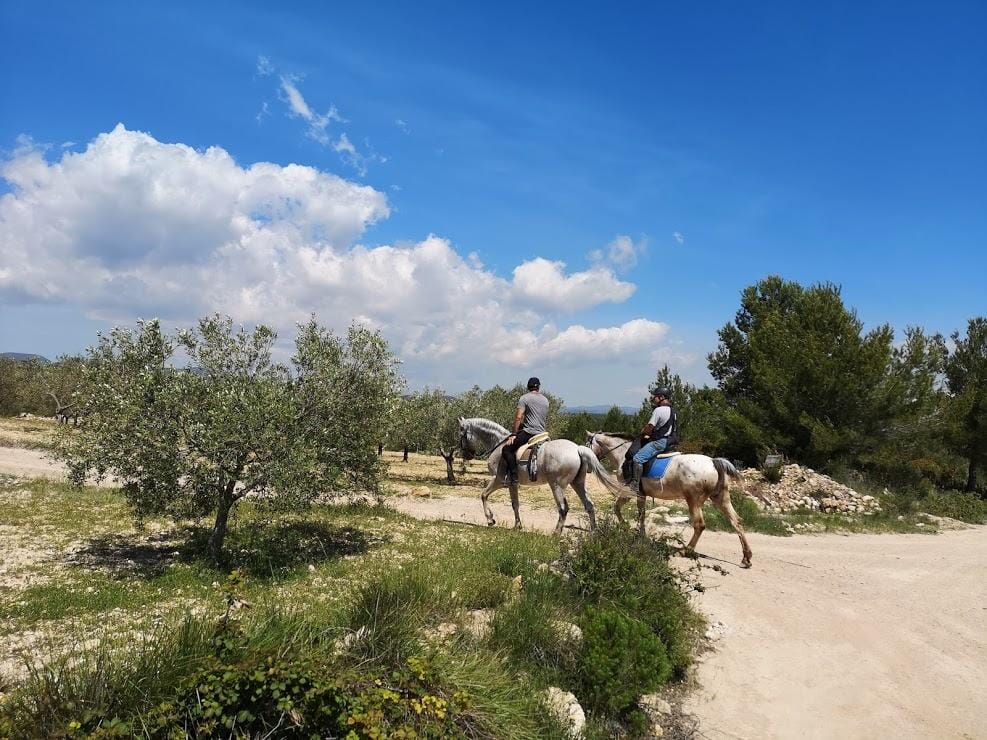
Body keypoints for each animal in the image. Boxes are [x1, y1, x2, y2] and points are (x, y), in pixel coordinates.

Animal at [458, 417, 627, 535]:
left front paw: (490, 519)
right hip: (578, 483)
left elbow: (484, 495)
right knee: (589, 505)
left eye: (462, 435)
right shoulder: (513, 484)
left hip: (556, 485)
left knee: (563, 508)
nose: (467, 455)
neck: (499, 444)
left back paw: (556, 533)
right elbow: (515, 504)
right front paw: (517, 525)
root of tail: (577, 449)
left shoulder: (499, 480)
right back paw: (594, 531)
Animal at [586, 431, 753, 568]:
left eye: (587, 444)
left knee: (699, 525)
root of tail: (713, 462)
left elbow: (617, 508)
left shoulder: (629, 492)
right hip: (721, 498)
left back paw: (686, 550)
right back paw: (746, 557)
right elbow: (641, 514)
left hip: (693, 500)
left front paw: (626, 526)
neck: (623, 454)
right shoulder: (641, 495)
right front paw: (640, 534)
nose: (587, 467)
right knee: (736, 522)